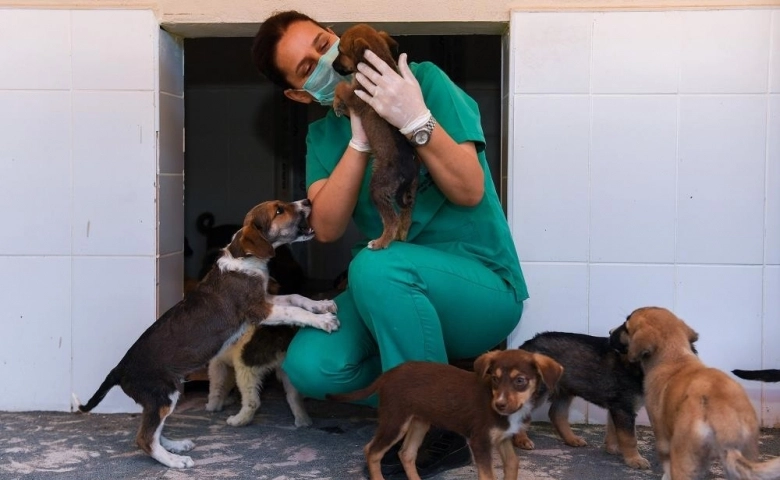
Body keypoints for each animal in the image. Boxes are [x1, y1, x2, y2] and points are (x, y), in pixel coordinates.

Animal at [73, 199, 338, 468]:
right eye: (279, 210)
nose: (307, 201)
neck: (245, 259)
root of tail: (119, 370)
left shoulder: (266, 299)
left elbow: (296, 297)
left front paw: (323, 305)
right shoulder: (258, 309)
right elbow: (294, 310)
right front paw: (323, 321)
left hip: (163, 397)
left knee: (154, 431)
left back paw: (175, 446)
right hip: (162, 394)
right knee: (145, 439)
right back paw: (175, 461)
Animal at [326, 348, 564, 480]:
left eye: (520, 381)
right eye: (495, 379)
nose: (500, 405)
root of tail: (387, 374)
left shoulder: (502, 439)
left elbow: (513, 465)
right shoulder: (480, 441)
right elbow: (489, 476)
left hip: (419, 421)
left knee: (406, 453)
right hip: (395, 420)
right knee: (372, 451)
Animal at [334, 24, 424, 251]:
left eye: (340, 51)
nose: (332, 65)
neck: (379, 59)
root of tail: (409, 169)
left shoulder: (356, 97)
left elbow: (340, 87)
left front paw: (336, 103)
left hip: (379, 187)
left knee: (391, 220)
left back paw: (381, 241)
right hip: (411, 190)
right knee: (406, 217)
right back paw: (401, 235)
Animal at [516, 332, 648, 466]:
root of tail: (528, 344)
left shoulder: (617, 407)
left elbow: (613, 430)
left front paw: (612, 448)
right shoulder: (624, 409)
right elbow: (630, 438)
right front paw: (634, 459)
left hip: (565, 390)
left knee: (556, 414)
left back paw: (571, 439)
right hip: (537, 392)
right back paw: (521, 440)